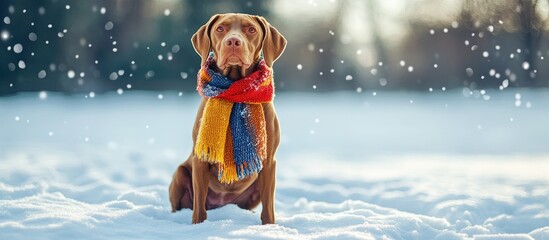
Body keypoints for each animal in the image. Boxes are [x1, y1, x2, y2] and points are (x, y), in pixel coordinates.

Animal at [169, 13, 284, 225]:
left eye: (251, 30)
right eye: (220, 29)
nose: (233, 41)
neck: (235, 86)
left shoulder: (268, 161)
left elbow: (269, 209)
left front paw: (269, 227)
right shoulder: (200, 158)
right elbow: (198, 208)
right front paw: (197, 226)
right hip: (181, 173)